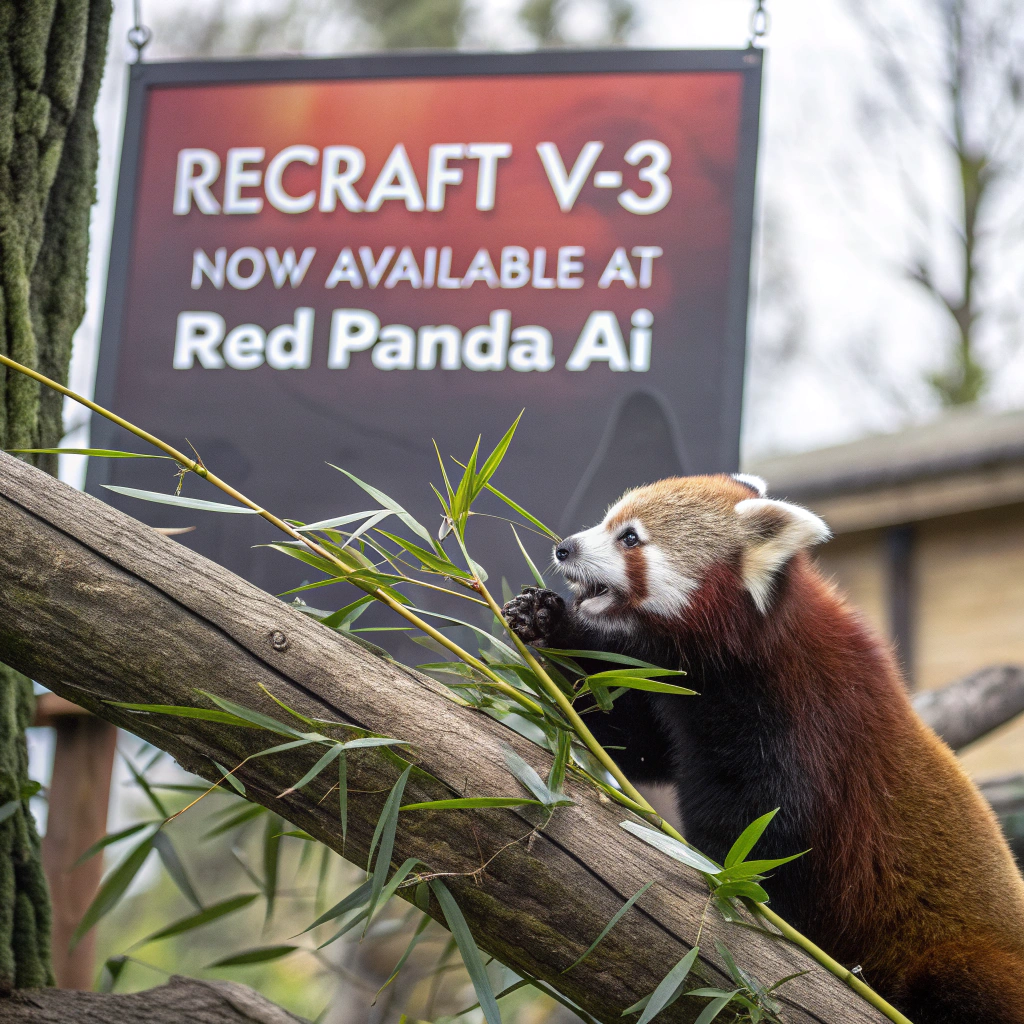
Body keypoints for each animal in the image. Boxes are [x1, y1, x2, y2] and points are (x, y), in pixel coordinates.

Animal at [502, 473, 1024, 1024]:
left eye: (630, 538)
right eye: (607, 523)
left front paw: (720, 869)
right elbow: (633, 740)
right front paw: (544, 619)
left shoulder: (802, 721)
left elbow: (763, 831)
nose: (564, 547)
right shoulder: (678, 702)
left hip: (962, 960)